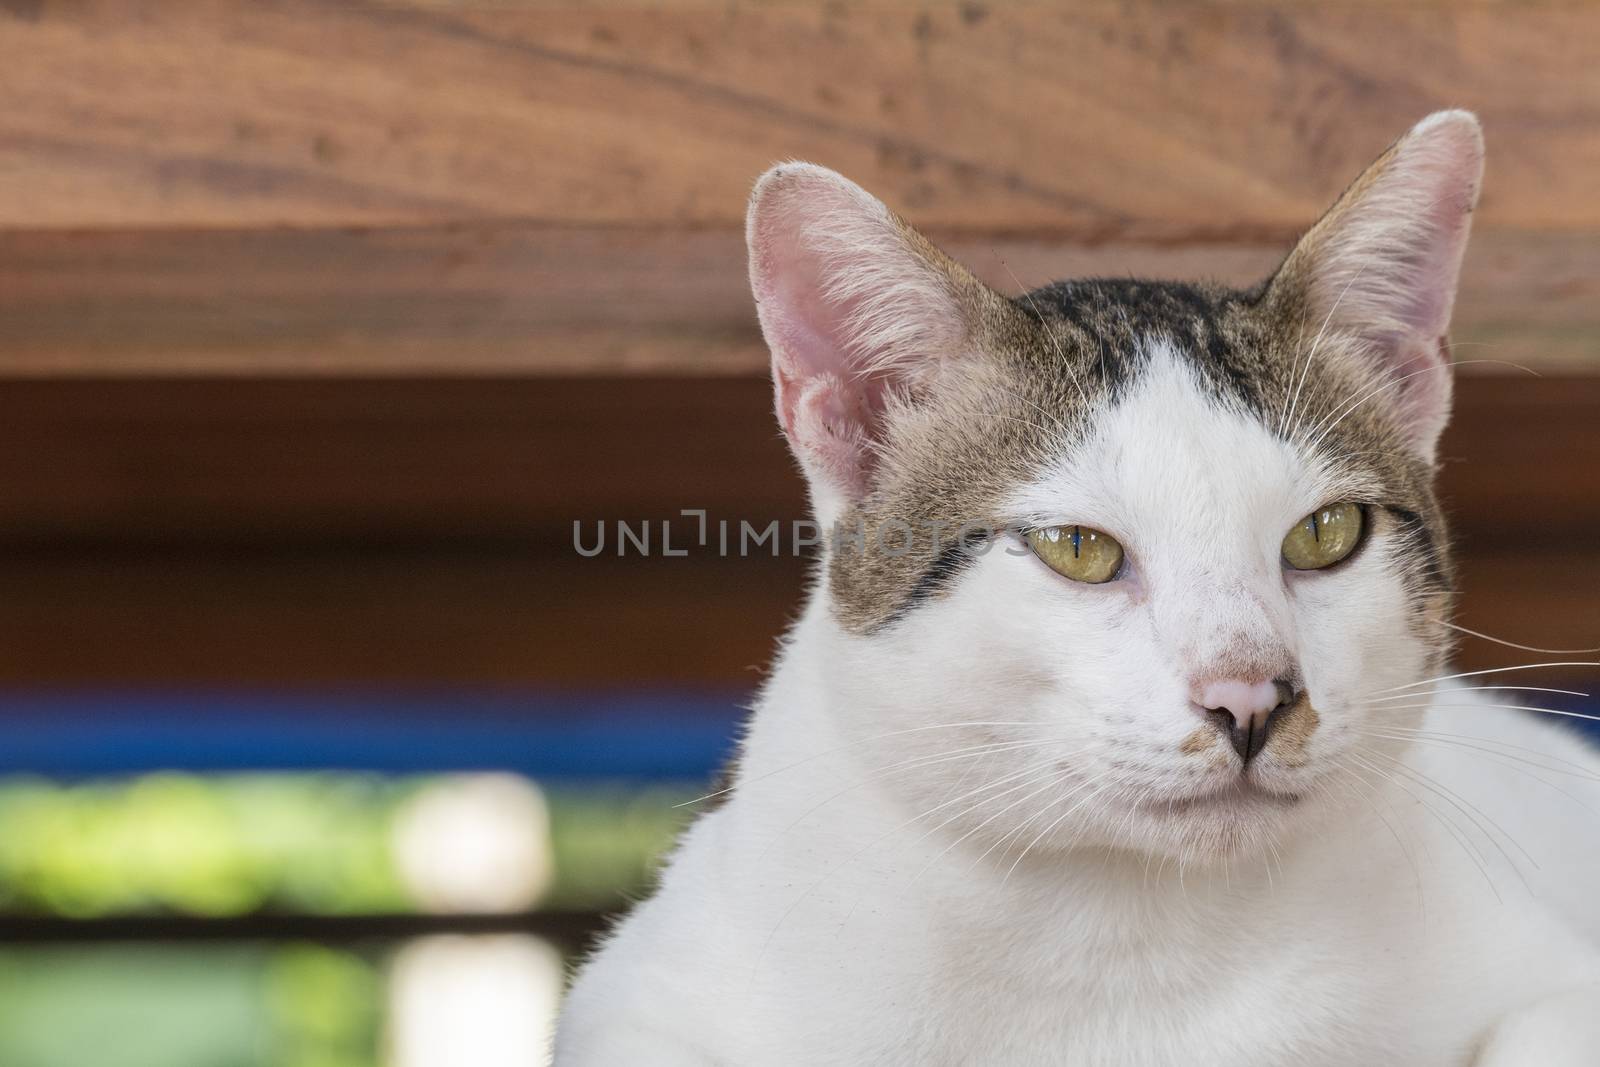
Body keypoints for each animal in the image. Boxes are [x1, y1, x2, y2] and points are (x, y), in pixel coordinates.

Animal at [556, 112, 1600, 1062]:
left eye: (1325, 533)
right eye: (1079, 549)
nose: (1251, 698)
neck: (1120, 930)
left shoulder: (1554, 984)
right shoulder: (635, 1001)